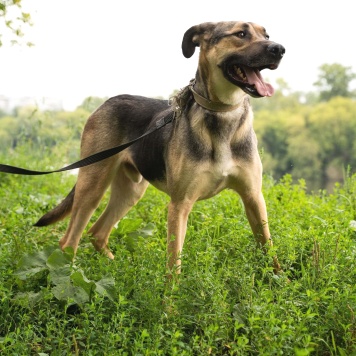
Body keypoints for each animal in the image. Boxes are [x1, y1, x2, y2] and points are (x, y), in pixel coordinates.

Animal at [34, 21, 286, 276]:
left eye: (266, 35)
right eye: (241, 34)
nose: (279, 49)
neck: (222, 113)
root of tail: (105, 102)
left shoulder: (253, 197)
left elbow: (269, 248)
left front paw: (279, 280)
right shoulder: (180, 205)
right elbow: (174, 263)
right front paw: (171, 288)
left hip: (131, 190)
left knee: (97, 233)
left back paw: (118, 269)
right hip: (93, 184)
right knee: (69, 241)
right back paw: (68, 276)